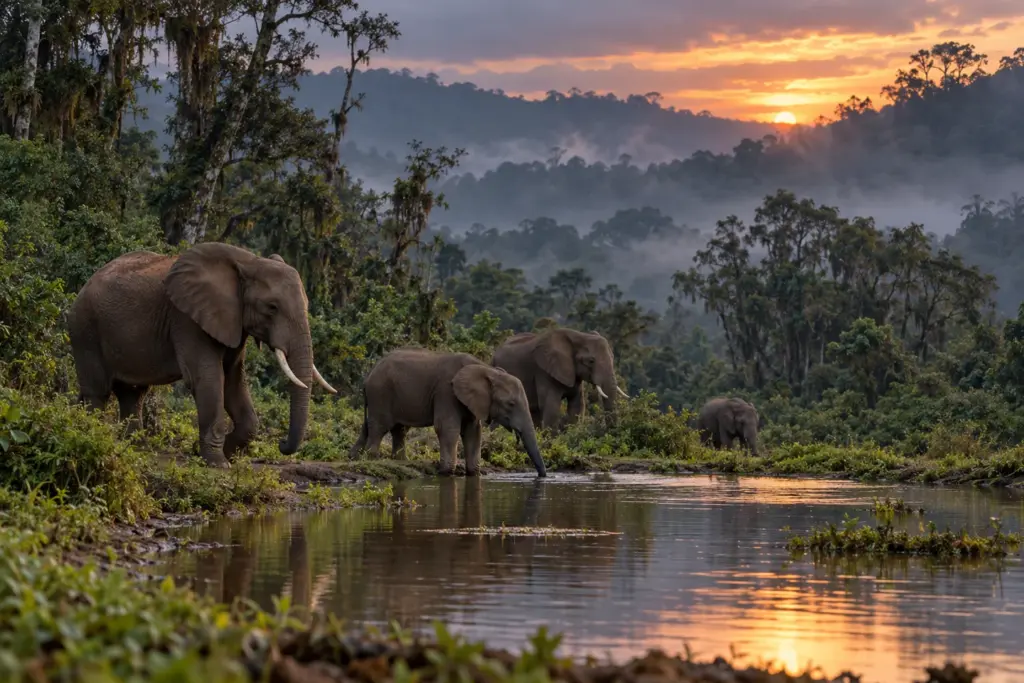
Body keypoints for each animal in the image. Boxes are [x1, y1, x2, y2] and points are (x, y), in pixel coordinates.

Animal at [67, 242, 336, 468]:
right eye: (272, 307)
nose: (281, 444)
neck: (248, 262)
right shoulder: (186, 319)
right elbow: (208, 379)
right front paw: (219, 464)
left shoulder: (231, 322)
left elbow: (233, 381)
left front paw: (225, 454)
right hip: (85, 330)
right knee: (98, 393)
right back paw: (93, 437)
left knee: (133, 395)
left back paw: (136, 449)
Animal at [349, 348, 546, 477]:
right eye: (511, 404)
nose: (541, 476)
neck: (486, 370)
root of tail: (368, 375)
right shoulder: (446, 392)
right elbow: (448, 427)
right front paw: (445, 471)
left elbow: (473, 431)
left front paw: (472, 472)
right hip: (380, 394)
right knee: (380, 427)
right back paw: (373, 460)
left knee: (399, 430)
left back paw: (397, 461)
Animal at [491, 327, 628, 431]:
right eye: (591, 361)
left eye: (613, 357)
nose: (612, 430)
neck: (579, 336)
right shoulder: (544, 372)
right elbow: (551, 406)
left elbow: (577, 405)